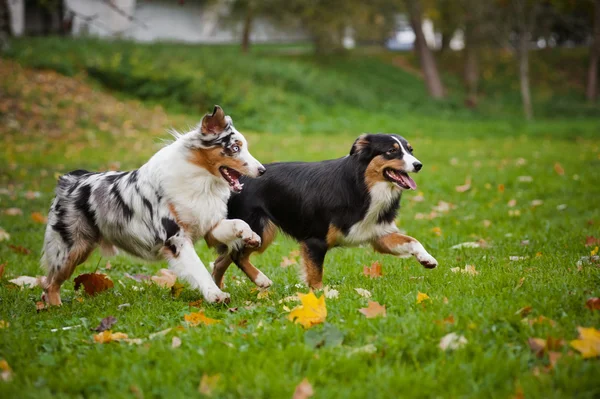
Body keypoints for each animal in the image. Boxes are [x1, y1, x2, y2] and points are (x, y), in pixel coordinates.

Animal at [41, 106, 264, 306]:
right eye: (235, 148)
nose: (262, 170)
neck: (201, 180)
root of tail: (71, 179)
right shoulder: (176, 238)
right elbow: (198, 269)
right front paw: (215, 295)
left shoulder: (208, 225)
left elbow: (238, 222)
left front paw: (251, 236)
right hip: (71, 249)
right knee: (49, 283)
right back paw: (56, 309)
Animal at [210, 133, 436, 290]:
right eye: (391, 151)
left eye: (410, 150)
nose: (418, 165)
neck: (362, 185)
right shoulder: (315, 241)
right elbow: (315, 275)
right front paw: (322, 296)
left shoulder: (377, 234)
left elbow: (412, 240)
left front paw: (427, 259)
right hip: (258, 230)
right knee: (237, 256)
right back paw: (261, 280)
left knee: (221, 260)